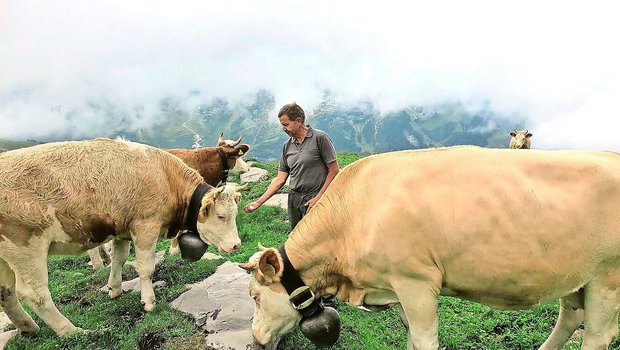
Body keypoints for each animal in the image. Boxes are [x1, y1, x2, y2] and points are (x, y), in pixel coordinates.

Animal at [0, 137, 242, 336]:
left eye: (235, 213)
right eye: (221, 215)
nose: (236, 245)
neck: (165, 176)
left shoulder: (122, 231)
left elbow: (120, 259)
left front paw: (115, 289)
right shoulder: (146, 227)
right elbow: (146, 268)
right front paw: (149, 302)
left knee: (6, 293)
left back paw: (29, 327)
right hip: (25, 247)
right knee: (35, 294)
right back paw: (70, 331)